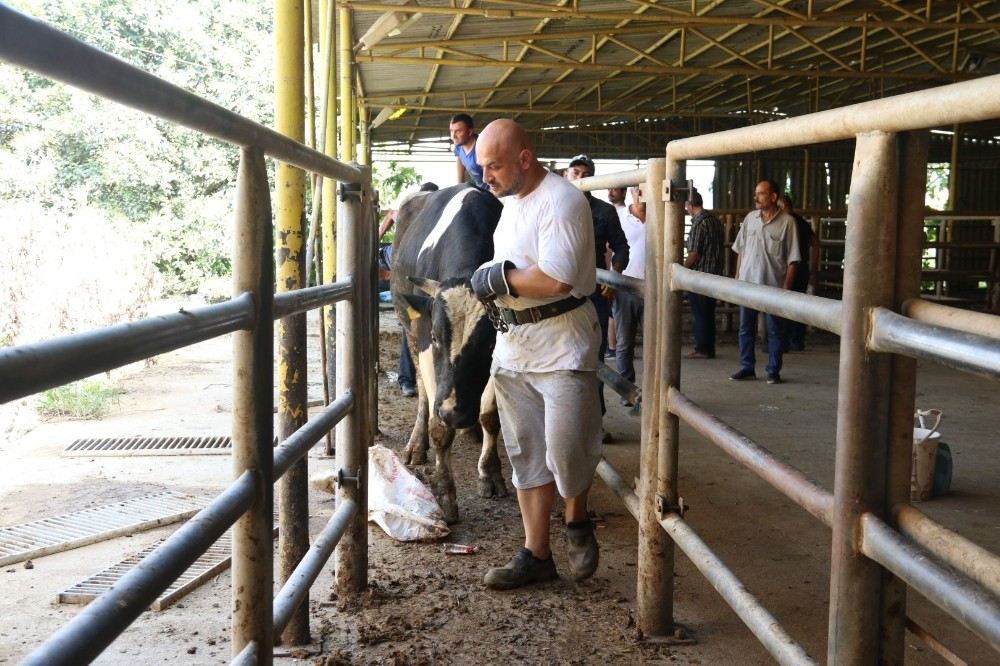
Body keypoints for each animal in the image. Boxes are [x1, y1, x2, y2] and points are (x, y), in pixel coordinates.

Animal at [386, 183, 504, 524]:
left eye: (489, 345)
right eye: (438, 337)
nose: (456, 413)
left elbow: (491, 417)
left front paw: (491, 472)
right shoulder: (425, 337)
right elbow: (438, 429)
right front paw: (445, 494)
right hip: (409, 329)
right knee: (424, 394)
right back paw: (417, 444)